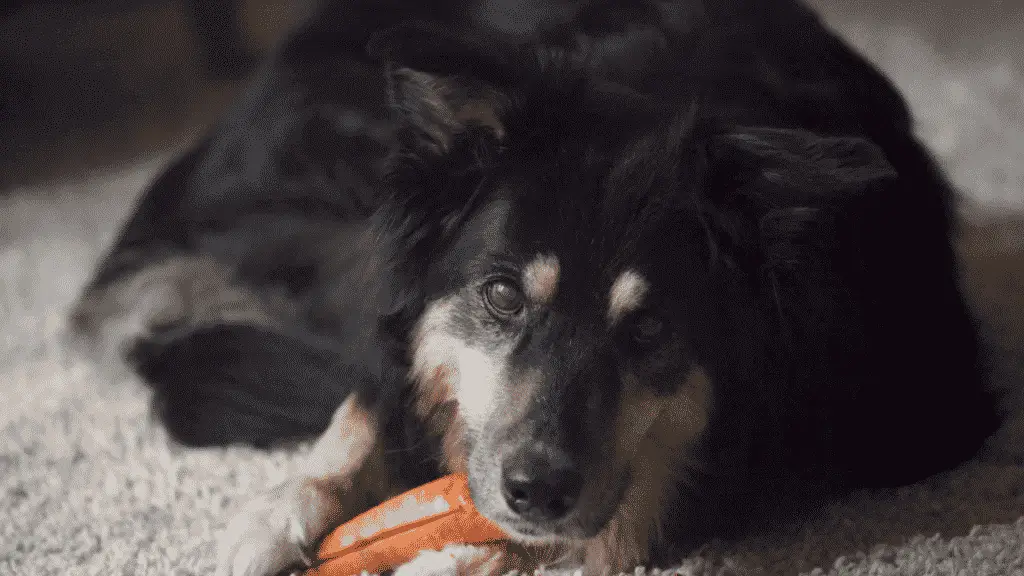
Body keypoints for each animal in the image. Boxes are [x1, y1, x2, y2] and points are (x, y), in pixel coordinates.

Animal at [70, 1, 999, 573]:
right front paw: (282, 507)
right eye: (503, 296)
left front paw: (455, 558)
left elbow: (619, 516)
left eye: (651, 329)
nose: (539, 490)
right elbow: (367, 398)